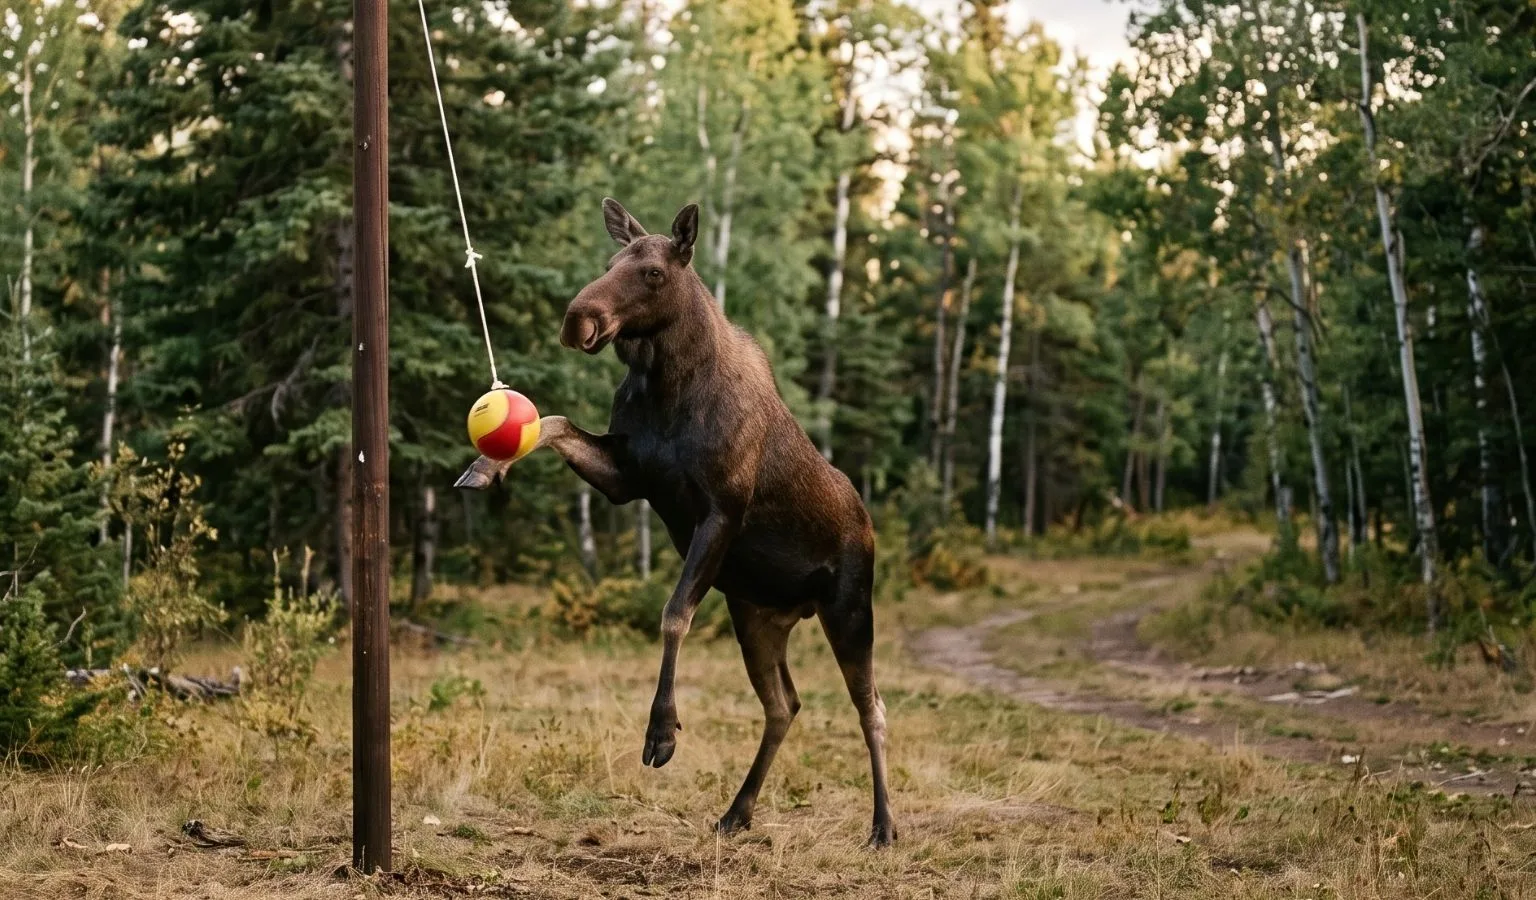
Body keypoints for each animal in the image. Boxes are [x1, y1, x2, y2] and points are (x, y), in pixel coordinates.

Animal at [455, 198, 896, 847]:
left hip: (849, 606)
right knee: (783, 704)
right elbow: (551, 422)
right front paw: (487, 465)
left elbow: (673, 615)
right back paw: (737, 812)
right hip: (755, 614)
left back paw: (883, 825)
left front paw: (660, 733)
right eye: (609, 264)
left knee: (871, 707)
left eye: (654, 273)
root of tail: (868, 523)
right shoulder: (630, 479)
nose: (577, 319)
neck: (665, 384)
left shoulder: (720, 510)